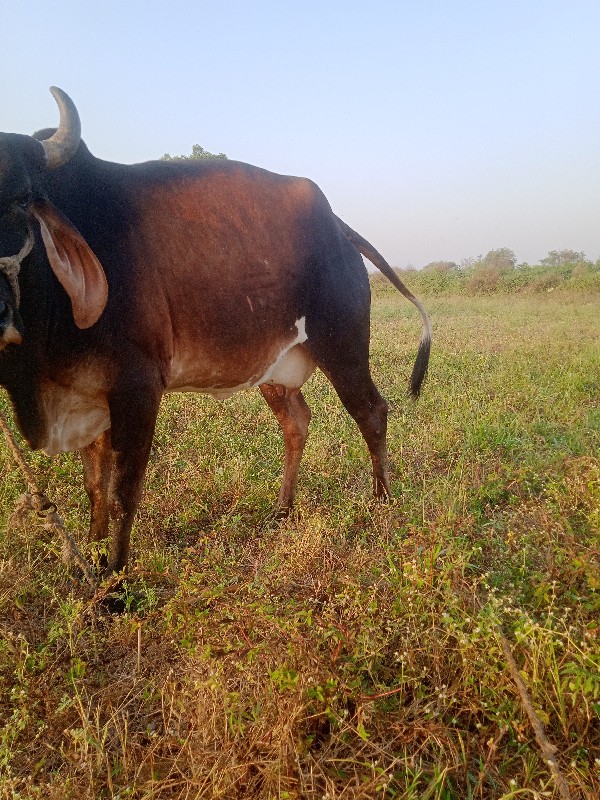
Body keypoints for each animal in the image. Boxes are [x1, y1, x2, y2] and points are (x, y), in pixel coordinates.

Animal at [0, 86, 432, 576]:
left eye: (20, 201)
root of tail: (337, 226)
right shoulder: (89, 398)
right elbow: (95, 490)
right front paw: (90, 562)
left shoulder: (138, 386)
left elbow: (121, 493)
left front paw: (117, 581)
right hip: (273, 369)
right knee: (297, 421)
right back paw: (282, 510)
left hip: (343, 346)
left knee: (372, 412)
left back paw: (382, 502)